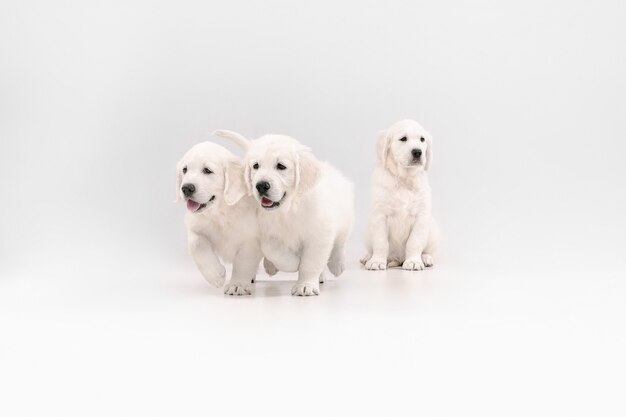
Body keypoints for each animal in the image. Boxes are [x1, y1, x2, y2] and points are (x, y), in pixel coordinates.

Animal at [176, 141, 260, 294]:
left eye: (207, 170)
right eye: (185, 170)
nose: (186, 188)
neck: (219, 213)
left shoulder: (251, 239)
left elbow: (243, 262)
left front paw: (237, 284)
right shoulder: (194, 227)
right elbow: (197, 244)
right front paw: (215, 275)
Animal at [213, 130, 352, 296]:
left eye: (281, 166)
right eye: (256, 166)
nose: (261, 186)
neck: (288, 210)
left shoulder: (319, 235)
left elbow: (310, 263)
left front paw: (305, 285)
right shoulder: (264, 233)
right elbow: (271, 248)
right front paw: (290, 264)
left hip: (346, 217)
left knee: (340, 242)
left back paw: (336, 265)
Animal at [358, 118, 436, 272]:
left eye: (422, 139)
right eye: (403, 139)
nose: (417, 152)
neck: (404, 179)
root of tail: (398, 259)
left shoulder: (421, 216)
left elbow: (415, 241)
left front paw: (413, 261)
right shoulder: (380, 216)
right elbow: (381, 243)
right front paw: (376, 261)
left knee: (427, 249)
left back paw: (426, 258)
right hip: (367, 232)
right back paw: (367, 257)